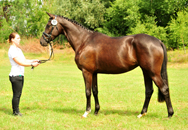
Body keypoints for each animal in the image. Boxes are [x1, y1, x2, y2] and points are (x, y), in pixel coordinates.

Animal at [39, 12, 173, 118]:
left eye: (49, 25)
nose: (42, 41)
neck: (84, 41)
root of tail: (158, 41)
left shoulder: (86, 71)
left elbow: (87, 91)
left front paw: (86, 112)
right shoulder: (94, 72)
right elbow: (95, 91)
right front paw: (96, 111)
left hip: (153, 72)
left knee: (164, 88)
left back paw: (170, 114)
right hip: (146, 71)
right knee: (149, 91)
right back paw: (141, 113)